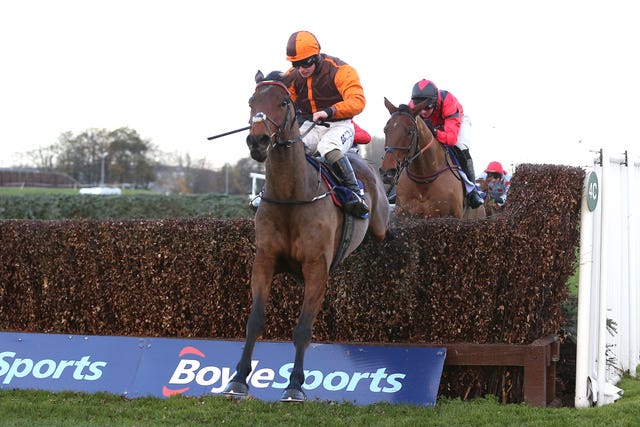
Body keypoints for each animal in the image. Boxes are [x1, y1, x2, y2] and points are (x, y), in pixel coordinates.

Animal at [222, 70, 390, 402]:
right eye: (251, 101)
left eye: (283, 102)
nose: (258, 140)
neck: (292, 196)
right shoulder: (264, 262)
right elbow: (254, 321)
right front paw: (238, 379)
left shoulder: (316, 268)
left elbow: (302, 329)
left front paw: (295, 385)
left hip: (379, 224)